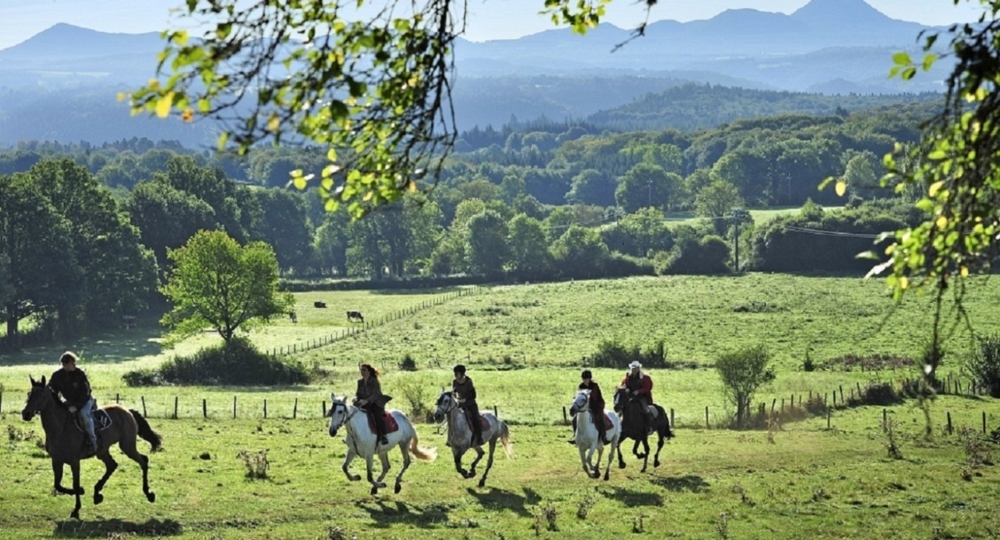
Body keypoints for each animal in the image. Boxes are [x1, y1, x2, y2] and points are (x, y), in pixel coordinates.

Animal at [20, 376, 162, 520]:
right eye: (29, 394)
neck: (61, 427)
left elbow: (75, 484)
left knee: (143, 461)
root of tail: (127, 411)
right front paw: (81, 493)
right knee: (112, 465)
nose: (26, 413)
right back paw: (97, 494)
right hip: (103, 451)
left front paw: (76, 509)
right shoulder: (56, 461)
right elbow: (58, 485)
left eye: (41, 395)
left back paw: (149, 493)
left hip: (127, 446)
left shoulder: (74, 461)